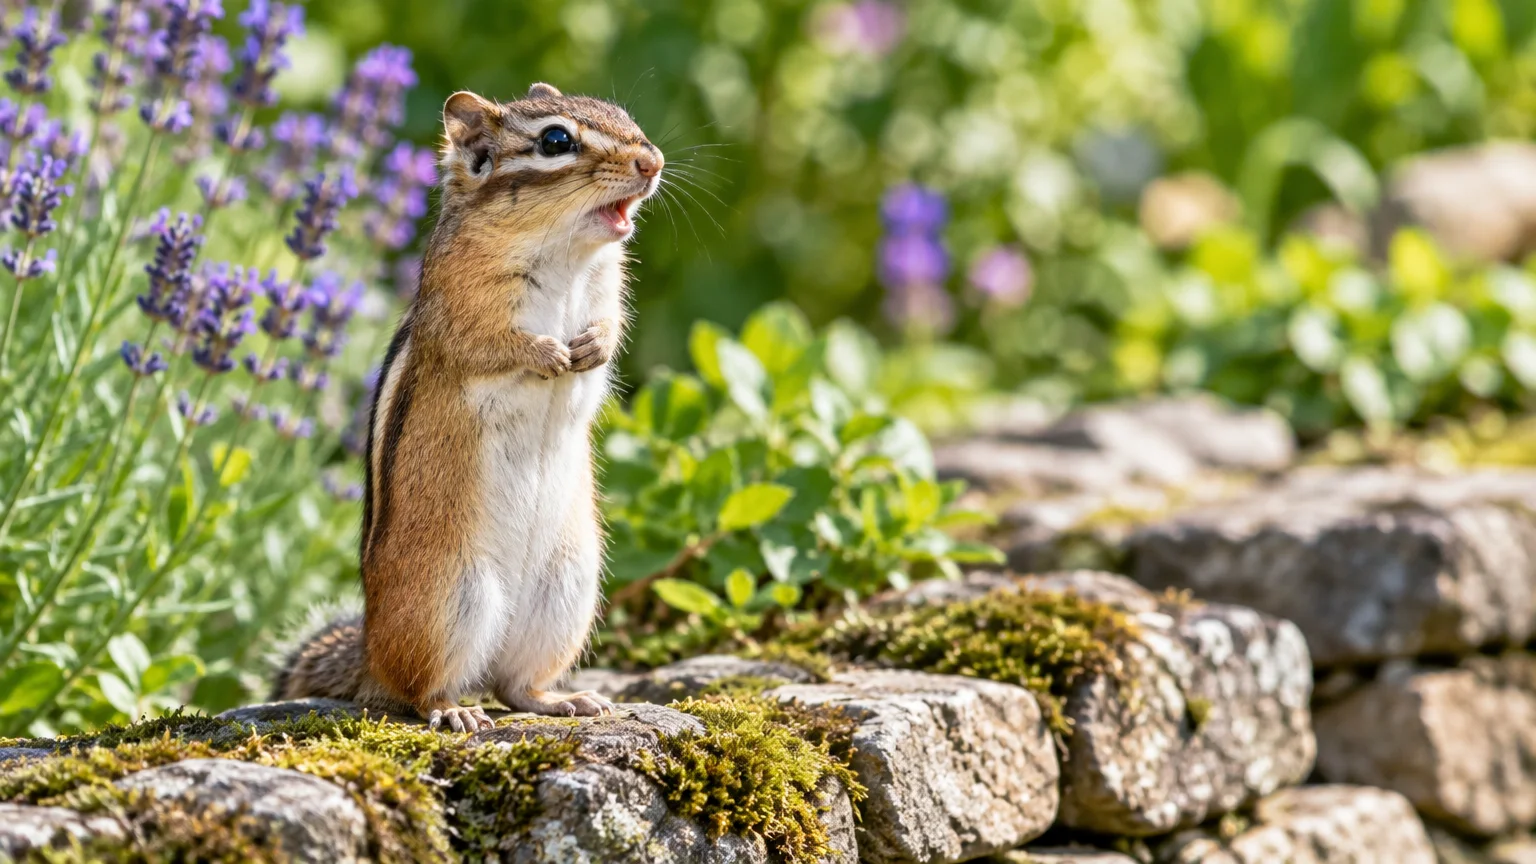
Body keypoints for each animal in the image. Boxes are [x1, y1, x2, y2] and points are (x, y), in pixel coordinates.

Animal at [270, 83, 663, 732]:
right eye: (556, 140)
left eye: (626, 117)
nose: (651, 163)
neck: (568, 255)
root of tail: (371, 653)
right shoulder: (460, 307)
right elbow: (488, 345)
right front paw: (548, 352)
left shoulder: (608, 290)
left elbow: (612, 327)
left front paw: (593, 347)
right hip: (450, 598)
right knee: (419, 690)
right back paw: (453, 711)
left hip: (567, 589)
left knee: (513, 684)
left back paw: (563, 699)